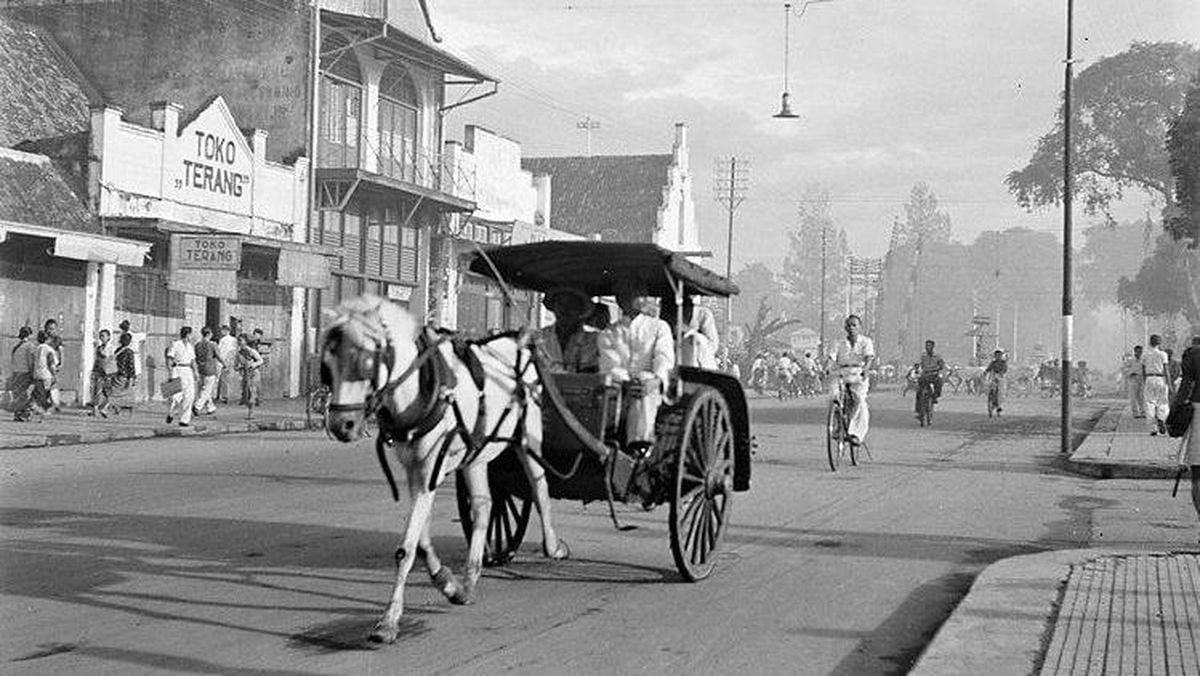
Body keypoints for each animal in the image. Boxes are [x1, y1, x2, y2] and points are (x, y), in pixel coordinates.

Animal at [321, 296, 568, 643]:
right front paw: (446, 582)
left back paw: (553, 547)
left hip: (527, 435)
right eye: (326, 367)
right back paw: (469, 580)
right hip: (477, 452)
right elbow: (421, 543)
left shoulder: (430, 470)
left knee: (540, 488)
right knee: (483, 506)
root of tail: (518, 342)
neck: (419, 388)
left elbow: (406, 548)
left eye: (365, 362)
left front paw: (388, 621)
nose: (341, 425)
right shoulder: (414, 470)